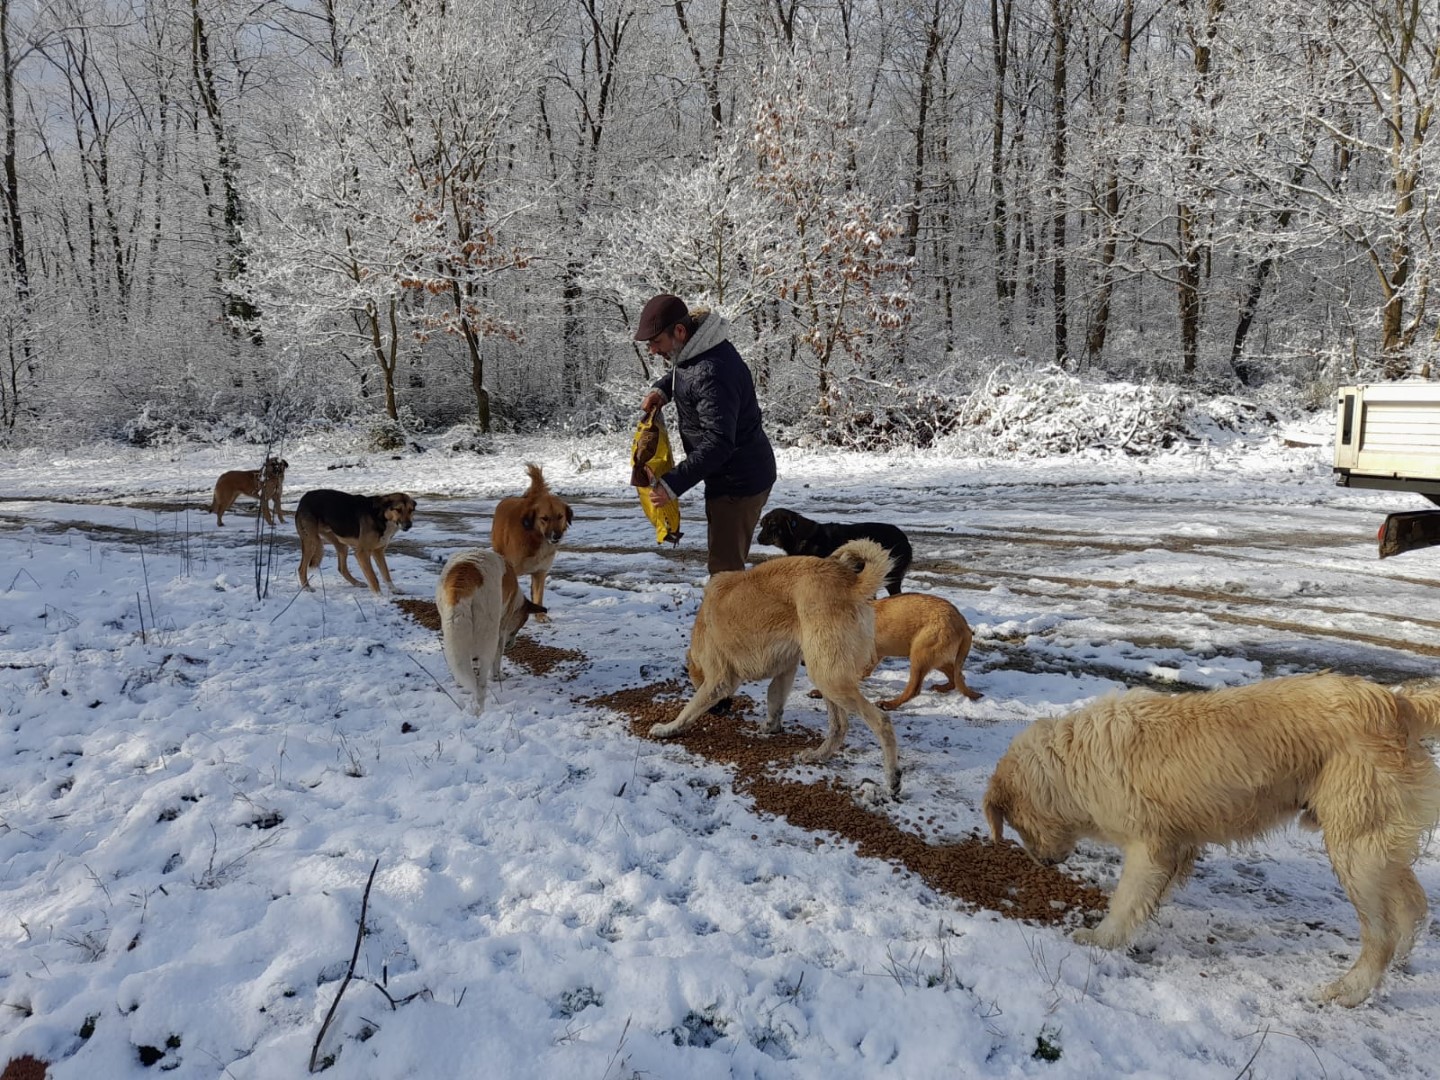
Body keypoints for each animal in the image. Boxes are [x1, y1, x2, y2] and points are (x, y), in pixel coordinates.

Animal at [754, 509, 910, 596]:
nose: (758, 538)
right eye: (762, 524)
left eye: (773, 524)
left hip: (891, 576)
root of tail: (904, 537)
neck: (803, 537)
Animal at [984, 673, 1440, 1013]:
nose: (1044, 864)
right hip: (1375, 846)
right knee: (1414, 905)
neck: (1068, 765)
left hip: (1354, 847)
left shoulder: (1149, 845)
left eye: (1017, 825)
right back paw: (1401, 958)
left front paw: (1100, 939)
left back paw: (1350, 990)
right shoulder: (1177, 845)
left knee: (1380, 934)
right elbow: (1151, 895)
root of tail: (1397, 702)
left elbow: (1126, 900)